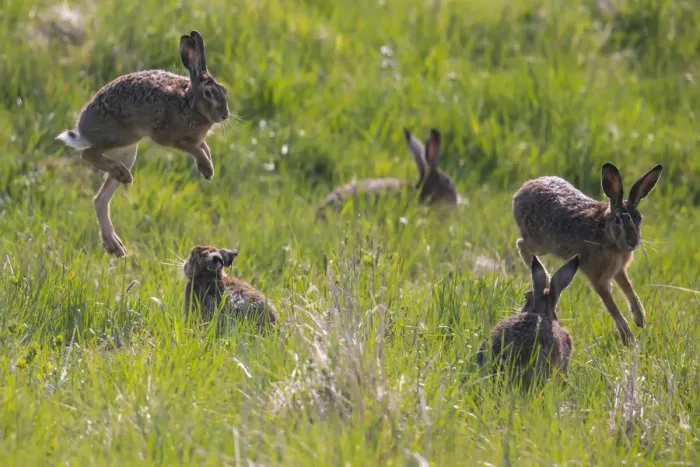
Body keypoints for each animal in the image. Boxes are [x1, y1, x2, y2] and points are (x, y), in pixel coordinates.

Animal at [56, 30, 229, 258]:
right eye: (209, 94)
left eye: (224, 91)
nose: (225, 115)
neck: (189, 102)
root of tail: (82, 128)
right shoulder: (168, 136)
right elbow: (194, 149)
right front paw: (207, 169)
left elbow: (204, 148)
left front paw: (208, 168)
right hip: (123, 135)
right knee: (88, 154)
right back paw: (121, 175)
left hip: (128, 152)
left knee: (100, 198)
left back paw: (114, 243)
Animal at [512, 162, 663, 346]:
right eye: (618, 220)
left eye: (639, 218)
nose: (633, 243)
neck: (607, 235)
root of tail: (522, 190)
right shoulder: (598, 279)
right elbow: (612, 307)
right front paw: (629, 339)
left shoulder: (619, 271)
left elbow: (630, 290)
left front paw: (640, 319)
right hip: (540, 243)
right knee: (521, 243)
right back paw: (546, 278)